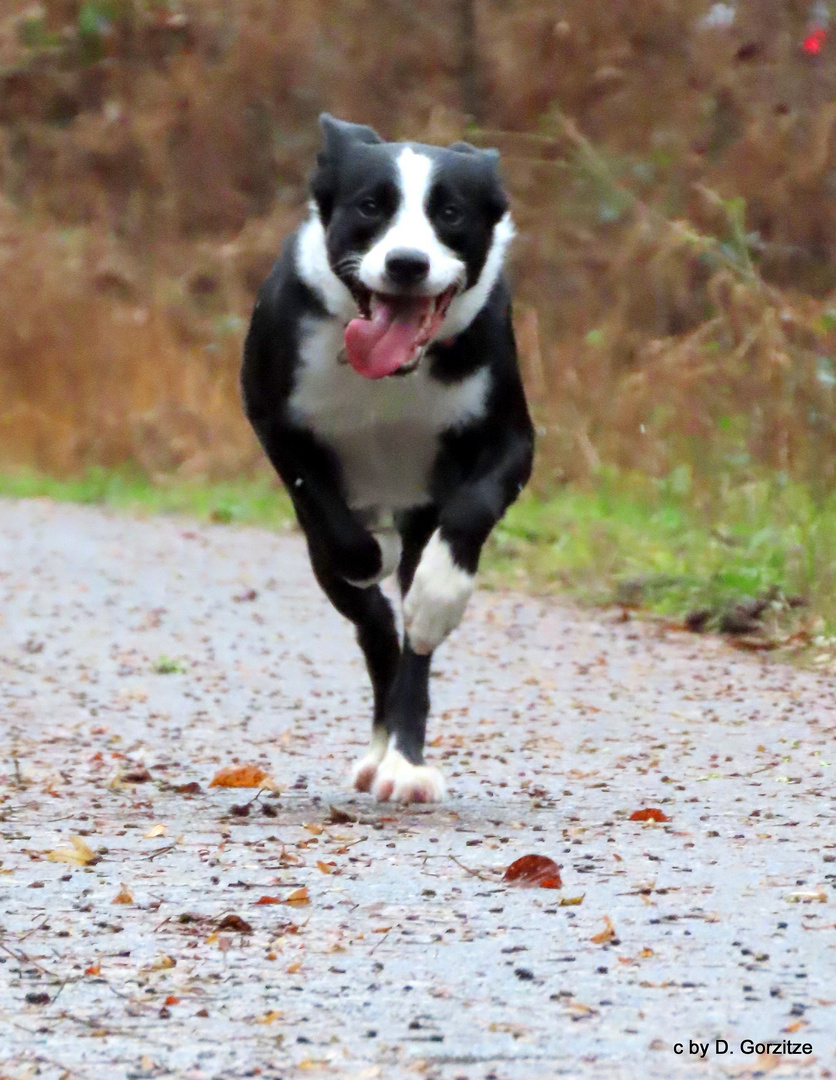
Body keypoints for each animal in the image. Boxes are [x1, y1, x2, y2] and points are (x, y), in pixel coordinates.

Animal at [238, 116, 533, 803]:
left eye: (450, 213)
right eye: (371, 206)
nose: (406, 263)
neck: (391, 375)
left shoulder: (511, 440)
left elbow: (473, 509)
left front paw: (440, 595)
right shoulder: (275, 420)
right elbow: (329, 516)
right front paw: (368, 554)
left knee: (410, 648)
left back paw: (403, 762)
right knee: (373, 629)